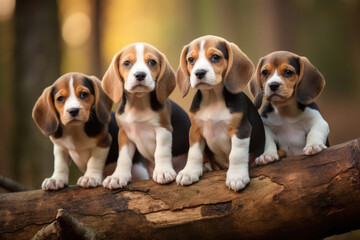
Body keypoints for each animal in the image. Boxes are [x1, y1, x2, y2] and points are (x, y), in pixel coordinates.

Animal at [100, 43, 190, 189]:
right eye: (127, 63)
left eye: (152, 62)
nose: (140, 75)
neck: (138, 103)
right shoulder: (124, 134)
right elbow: (123, 158)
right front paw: (118, 176)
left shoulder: (163, 129)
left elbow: (161, 151)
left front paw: (163, 171)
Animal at [176, 35, 266, 191]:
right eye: (191, 60)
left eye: (215, 57)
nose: (199, 73)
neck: (213, 98)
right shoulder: (195, 130)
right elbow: (194, 153)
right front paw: (189, 171)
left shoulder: (241, 129)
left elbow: (237, 154)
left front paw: (236, 176)